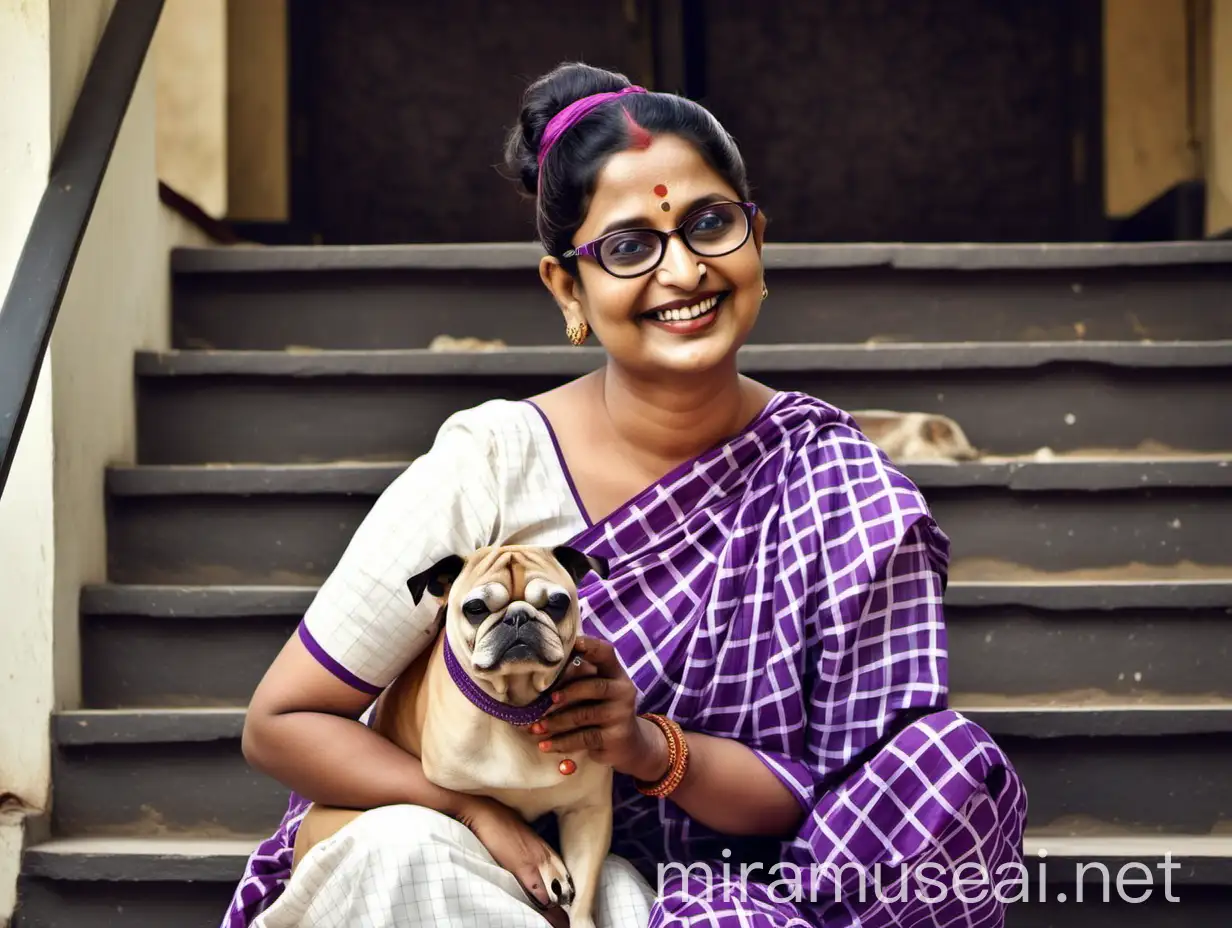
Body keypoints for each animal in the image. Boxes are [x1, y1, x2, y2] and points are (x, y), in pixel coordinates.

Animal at [293, 542, 611, 926]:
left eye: (556, 603)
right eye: (475, 609)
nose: (518, 617)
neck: (517, 707)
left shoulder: (587, 811)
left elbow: (582, 896)